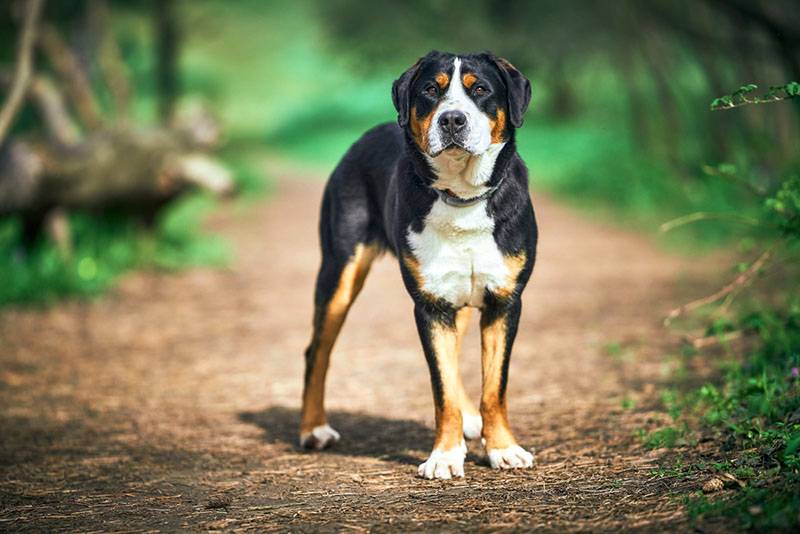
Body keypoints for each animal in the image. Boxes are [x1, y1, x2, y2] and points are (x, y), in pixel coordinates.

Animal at [300, 52, 536, 484]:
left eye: (480, 89)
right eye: (430, 90)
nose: (452, 120)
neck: (462, 199)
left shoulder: (504, 301)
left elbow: (494, 387)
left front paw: (503, 449)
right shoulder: (430, 306)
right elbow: (441, 389)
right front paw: (444, 457)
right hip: (340, 272)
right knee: (317, 352)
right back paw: (313, 429)